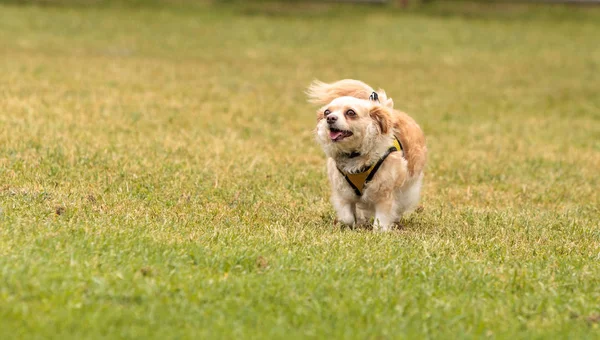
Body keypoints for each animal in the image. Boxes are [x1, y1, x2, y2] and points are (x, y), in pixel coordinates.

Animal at [308, 79, 428, 231]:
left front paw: (379, 231)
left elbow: (381, 218)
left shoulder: (384, 192)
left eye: (350, 112)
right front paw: (355, 224)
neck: (355, 155)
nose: (330, 118)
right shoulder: (343, 192)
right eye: (326, 112)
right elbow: (347, 217)